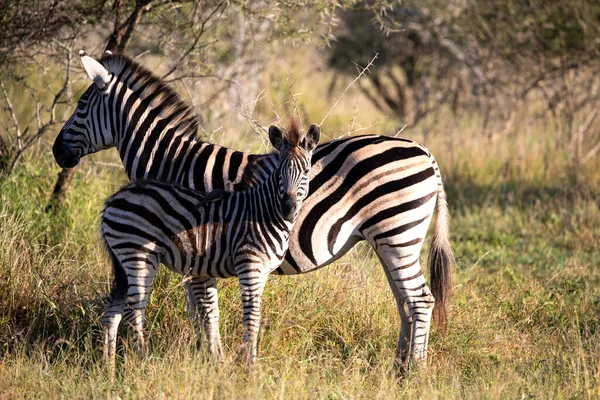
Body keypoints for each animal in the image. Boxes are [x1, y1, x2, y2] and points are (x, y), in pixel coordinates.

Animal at [102, 120, 318, 368]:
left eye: (306, 171)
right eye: (279, 172)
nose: (288, 208)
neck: (264, 212)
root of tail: (113, 199)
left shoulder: (262, 272)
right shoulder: (249, 266)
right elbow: (251, 317)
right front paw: (250, 366)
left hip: (122, 260)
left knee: (112, 310)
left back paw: (108, 367)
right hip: (138, 254)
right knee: (134, 310)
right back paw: (143, 362)